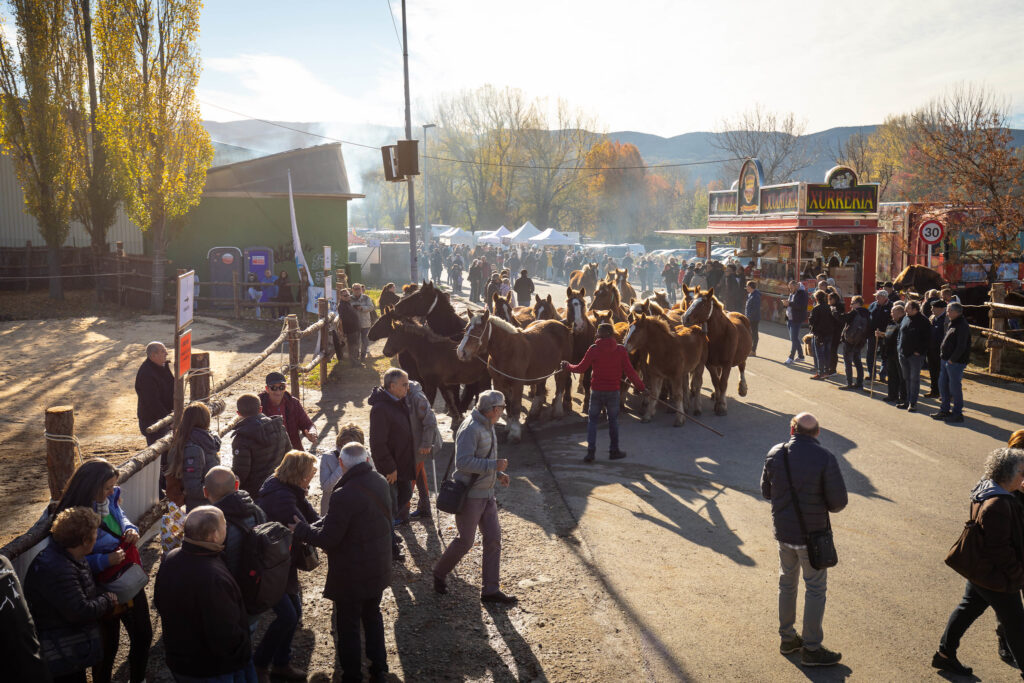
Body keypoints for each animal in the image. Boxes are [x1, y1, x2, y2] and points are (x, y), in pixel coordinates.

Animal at [458, 313, 577, 446]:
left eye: (478, 330)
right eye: (466, 329)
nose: (461, 352)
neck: (507, 351)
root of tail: (563, 325)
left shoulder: (517, 384)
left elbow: (515, 406)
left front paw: (514, 434)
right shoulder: (499, 383)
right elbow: (506, 404)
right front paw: (508, 427)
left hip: (562, 366)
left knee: (560, 385)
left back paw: (557, 412)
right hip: (542, 369)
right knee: (541, 387)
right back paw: (534, 413)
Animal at [679, 284, 753, 413]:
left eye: (703, 304)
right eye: (691, 301)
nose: (685, 318)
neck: (720, 334)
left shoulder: (727, 363)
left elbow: (723, 382)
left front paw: (721, 405)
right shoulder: (709, 363)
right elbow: (715, 381)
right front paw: (718, 398)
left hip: (742, 356)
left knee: (742, 366)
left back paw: (742, 388)